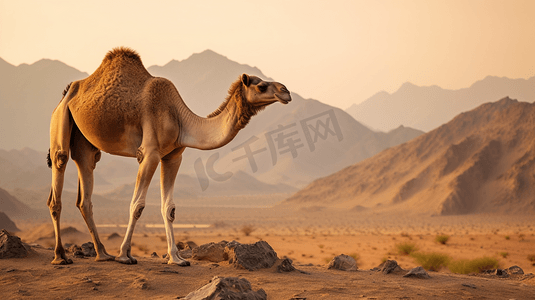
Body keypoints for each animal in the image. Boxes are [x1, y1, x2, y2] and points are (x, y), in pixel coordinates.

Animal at [46, 48, 292, 266]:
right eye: (261, 85)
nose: (286, 91)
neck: (180, 118)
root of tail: (68, 92)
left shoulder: (173, 156)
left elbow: (169, 208)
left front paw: (176, 258)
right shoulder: (150, 153)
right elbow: (137, 204)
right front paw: (125, 255)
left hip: (85, 143)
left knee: (85, 191)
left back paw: (102, 254)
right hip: (61, 121)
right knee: (59, 173)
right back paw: (61, 257)